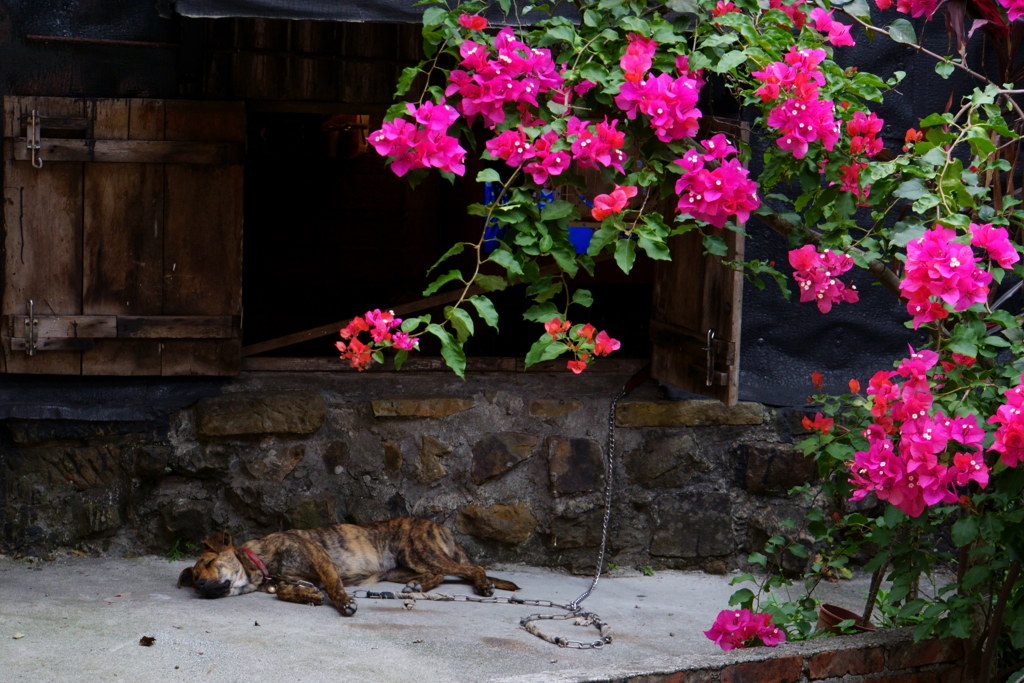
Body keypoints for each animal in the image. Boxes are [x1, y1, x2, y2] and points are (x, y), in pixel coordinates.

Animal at [175, 518, 520, 614]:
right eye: (195, 576)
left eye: (210, 562)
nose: (201, 587)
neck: (262, 561)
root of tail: (438, 526)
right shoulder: (286, 578)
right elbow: (285, 591)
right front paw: (308, 595)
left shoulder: (322, 560)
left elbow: (331, 583)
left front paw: (342, 603)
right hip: (401, 567)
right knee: (437, 573)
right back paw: (418, 586)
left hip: (418, 550)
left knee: (468, 569)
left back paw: (484, 584)